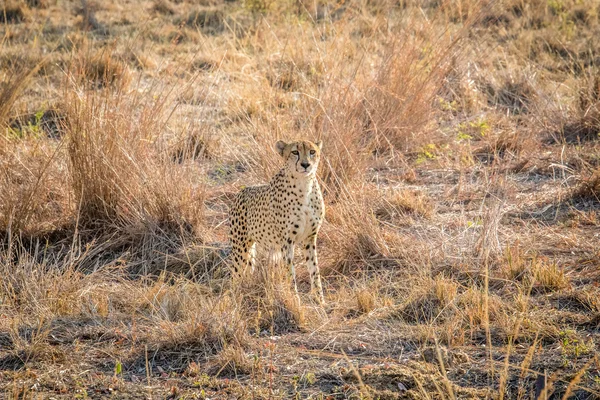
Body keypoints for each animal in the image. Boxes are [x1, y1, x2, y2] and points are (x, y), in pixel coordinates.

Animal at [230, 140, 326, 304]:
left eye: (312, 151)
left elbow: (315, 269)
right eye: (295, 152)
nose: (305, 164)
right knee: (234, 277)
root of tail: (242, 190)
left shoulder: (310, 238)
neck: (304, 185)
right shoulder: (287, 242)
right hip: (240, 249)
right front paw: (295, 300)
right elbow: (290, 273)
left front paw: (320, 300)